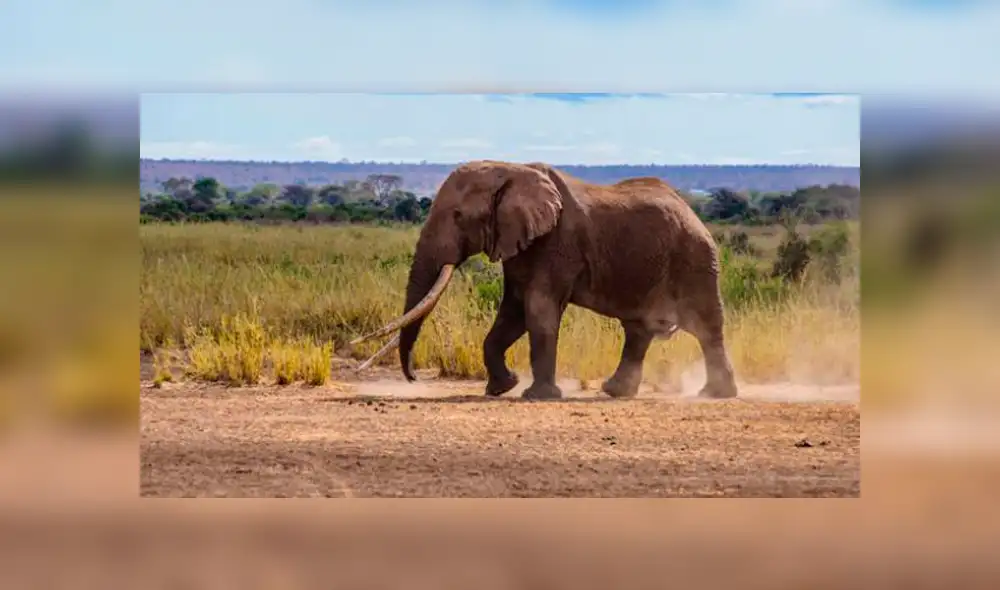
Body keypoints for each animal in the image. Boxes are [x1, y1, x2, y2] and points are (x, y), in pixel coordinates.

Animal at [350, 160, 738, 401]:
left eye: (458, 216)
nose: (414, 378)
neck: (509, 170)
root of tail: (693, 212)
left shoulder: (556, 243)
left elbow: (538, 311)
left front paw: (536, 396)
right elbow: (513, 312)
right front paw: (501, 388)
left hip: (695, 260)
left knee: (706, 327)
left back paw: (715, 395)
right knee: (638, 330)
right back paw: (615, 392)